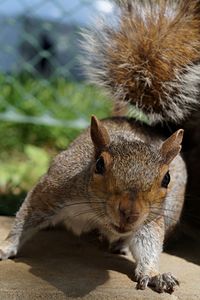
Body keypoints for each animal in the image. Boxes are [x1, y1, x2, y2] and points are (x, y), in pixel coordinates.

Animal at [0, 0, 199, 294]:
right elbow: (27, 216)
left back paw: (120, 245)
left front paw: (154, 274)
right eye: (99, 165)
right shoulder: (52, 189)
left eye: (166, 179)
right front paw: (6, 247)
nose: (129, 213)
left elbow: (148, 243)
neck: (98, 216)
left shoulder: (152, 216)